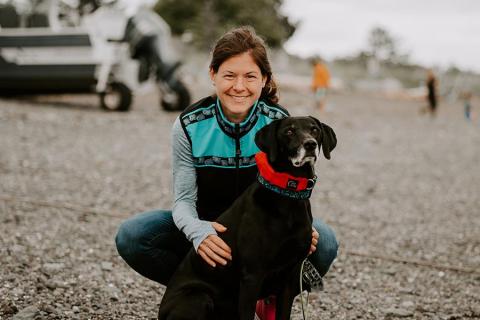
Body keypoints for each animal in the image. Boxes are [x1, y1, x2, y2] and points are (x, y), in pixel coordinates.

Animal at [159, 116, 336, 318]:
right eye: (289, 131)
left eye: (314, 130)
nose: (310, 144)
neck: (288, 197)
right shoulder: (252, 276)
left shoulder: (290, 276)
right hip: (199, 297)